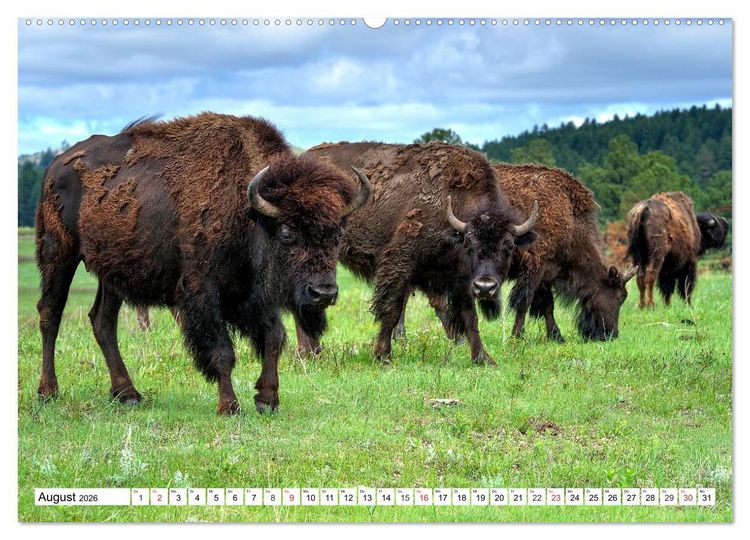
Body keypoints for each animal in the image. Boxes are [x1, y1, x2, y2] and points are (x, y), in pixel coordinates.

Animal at [35, 113, 370, 414]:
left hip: (112, 269)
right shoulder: (203, 292)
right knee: (50, 313)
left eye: (338, 234)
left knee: (103, 320)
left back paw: (127, 394)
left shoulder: (257, 295)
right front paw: (229, 406)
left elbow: (273, 337)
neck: (249, 213)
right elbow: (223, 351)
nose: (323, 293)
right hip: (58, 253)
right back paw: (48, 392)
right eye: (287, 232)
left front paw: (267, 399)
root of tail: (56, 166)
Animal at [295, 142, 539, 365]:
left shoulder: (462, 280)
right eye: (470, 243)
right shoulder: (400, 263)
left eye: (509, 246)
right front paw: (383, 356)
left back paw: (312, 352)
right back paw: (308, 353)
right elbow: (391, 310)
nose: (486, 287)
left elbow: (470, 318)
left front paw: (484, 358)